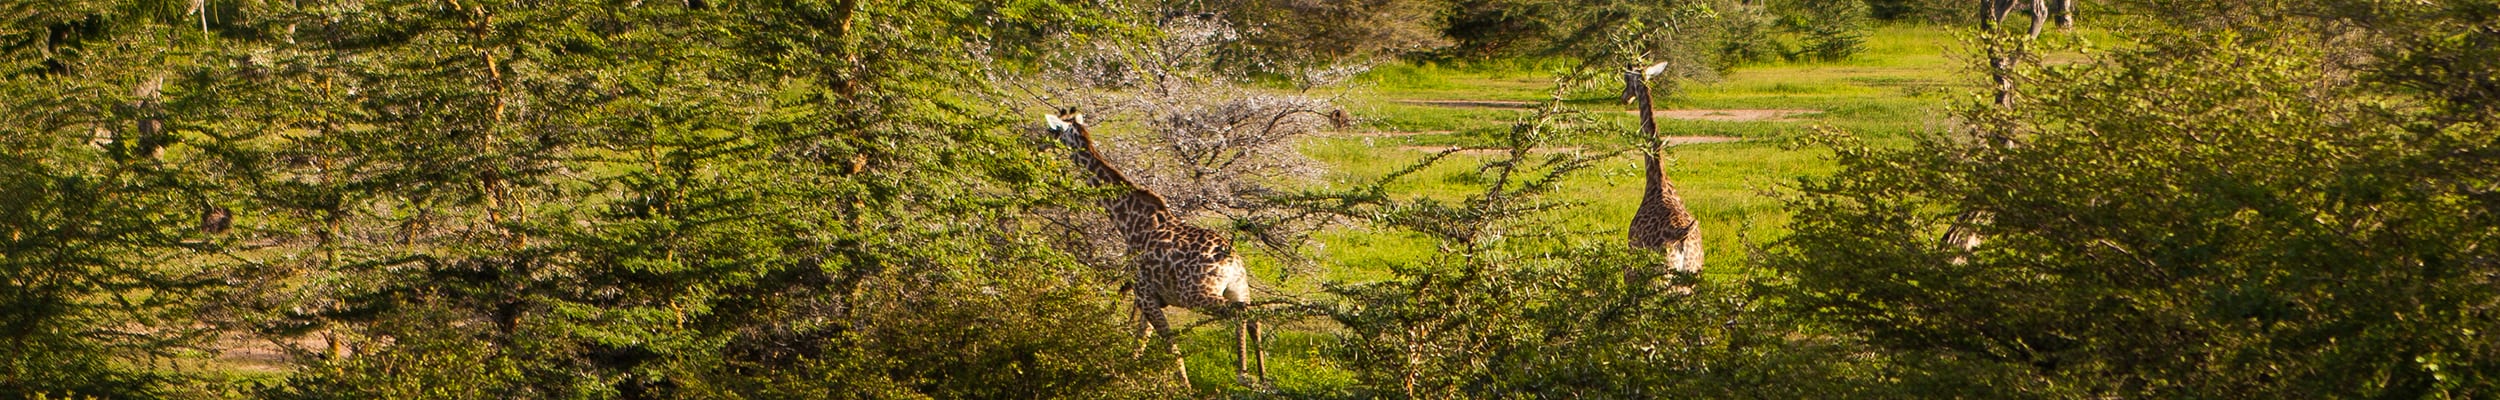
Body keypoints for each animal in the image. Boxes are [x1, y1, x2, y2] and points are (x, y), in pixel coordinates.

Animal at [1040, 108, 1270, 387]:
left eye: (1052, 130)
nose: (1039, 145)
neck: (1128, 220)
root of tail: (1231, 260)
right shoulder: (1151, 297)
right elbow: (1141, 342)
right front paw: (1121, 377)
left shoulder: (1144, 293)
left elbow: (1168, 344)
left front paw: (1185, 387)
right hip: (1239, 288)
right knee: (1253, 316)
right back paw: (1262, 377)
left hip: (1196, 294)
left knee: (1239, 314)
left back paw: (1242, 374)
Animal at [1620, 64, 1720, 280]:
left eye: (1626, 78)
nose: (1624, 97)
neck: (1658, 181)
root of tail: (1681, 237)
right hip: (1692, 274)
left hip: (1657, 275)